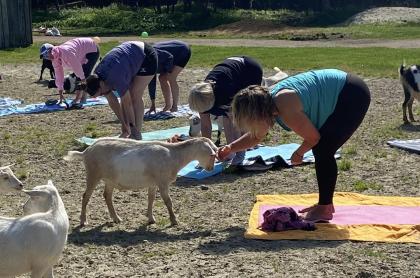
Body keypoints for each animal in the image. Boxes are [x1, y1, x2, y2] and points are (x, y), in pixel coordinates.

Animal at [64, 136, 218, 226]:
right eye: (211, 155)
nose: (210, 168)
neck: (173, 155)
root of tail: (86, 151)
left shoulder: (153, 183)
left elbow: (151, 199)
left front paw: (151, 219)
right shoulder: (162, 182)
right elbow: (168, 201)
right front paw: (174, 220)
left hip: (110, 179)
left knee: (107, 196)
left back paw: (116, 218)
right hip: (93, 174)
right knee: (86, 196)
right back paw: (83, 221)